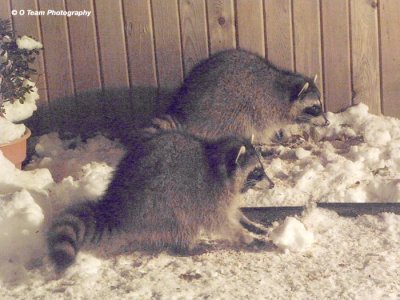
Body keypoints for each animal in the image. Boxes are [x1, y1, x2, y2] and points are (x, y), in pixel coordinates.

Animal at [47, 130, 266, 270]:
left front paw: (249, 223)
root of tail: (118, 209)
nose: (271, 184)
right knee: (184, 222)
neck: (215, 161)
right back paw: (186, 247)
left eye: (261, 167)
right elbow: (219, 222)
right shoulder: (209, 196)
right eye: (257, 171)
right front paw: (243, 235)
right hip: (161, 204)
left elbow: (232, 212)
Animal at [148, 48, 328, 144]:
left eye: (320, 104)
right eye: (314, 107)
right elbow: (262, 129)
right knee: (241, 122)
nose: (328, 122)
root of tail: (183, 109)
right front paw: (268, 140)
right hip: (224, 115)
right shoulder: (264, 109)